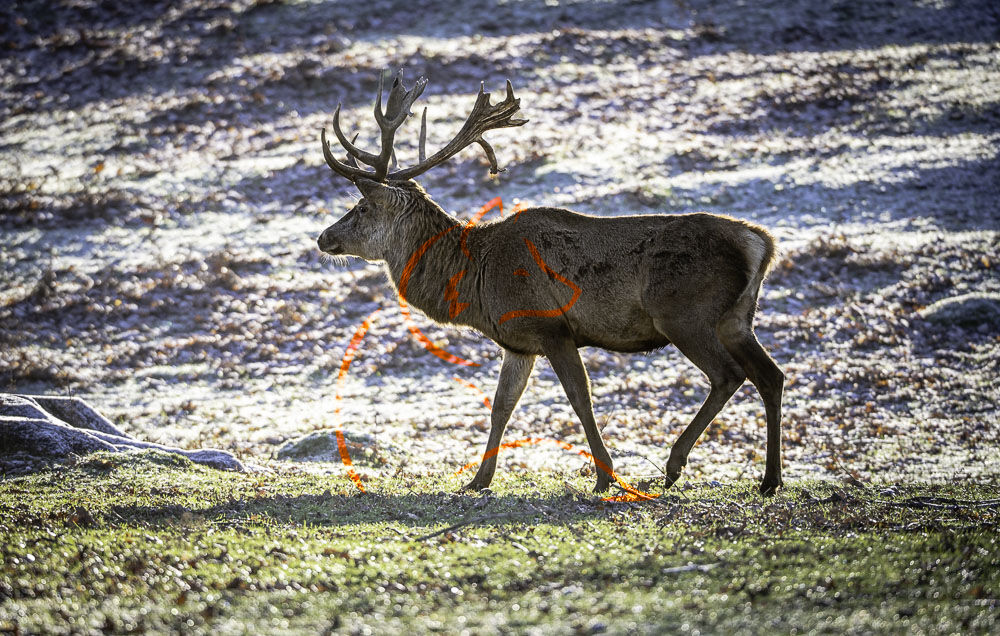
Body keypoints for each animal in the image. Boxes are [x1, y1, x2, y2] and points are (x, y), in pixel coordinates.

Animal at [316, 71, 786, 496]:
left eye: (361, 207)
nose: (323, 237)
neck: (476, 281)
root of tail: (761, 243)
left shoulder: (552, 326)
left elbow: (580, 398)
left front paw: (605, 478)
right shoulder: (518, 342)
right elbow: (501, 407)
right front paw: (478, 480)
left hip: (684, 313)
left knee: (728, 375)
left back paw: (674, 465)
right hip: (737, 318)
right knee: (771, 375)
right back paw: (769, 480)